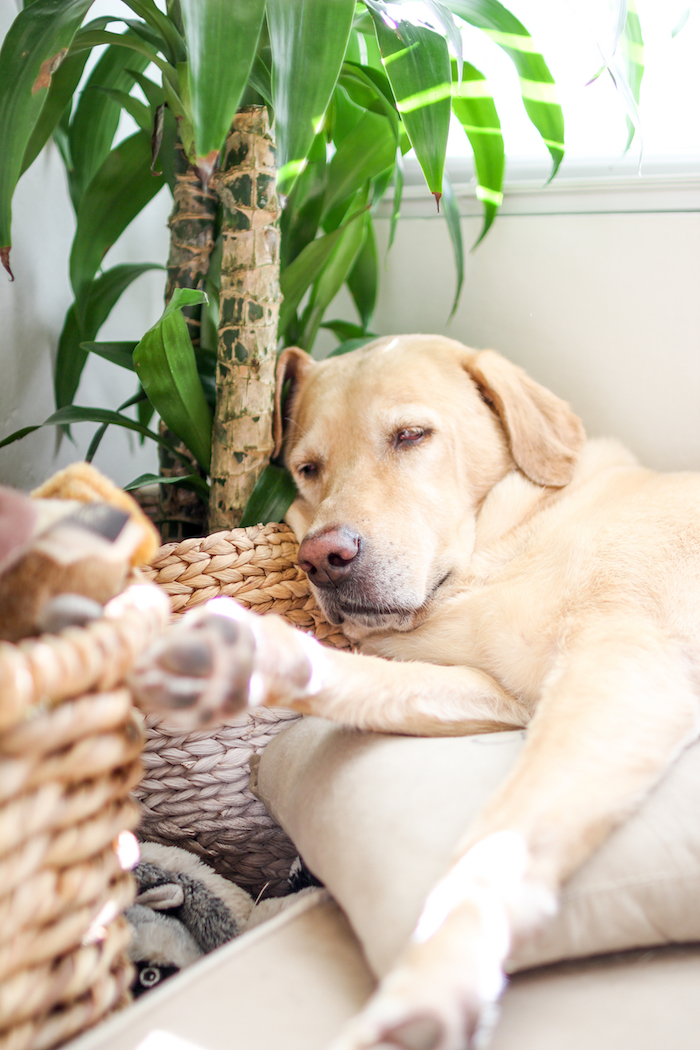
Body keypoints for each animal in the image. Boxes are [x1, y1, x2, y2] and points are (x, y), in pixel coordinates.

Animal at [131, 338, 700, 1050]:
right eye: (308, 468)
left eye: (410, 436)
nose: (322, 558)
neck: (494, 549)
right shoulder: (507, 698)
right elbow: (378, 686)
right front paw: (238, 656)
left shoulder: (623, 666)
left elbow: (497, 840)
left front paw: (435, 983)